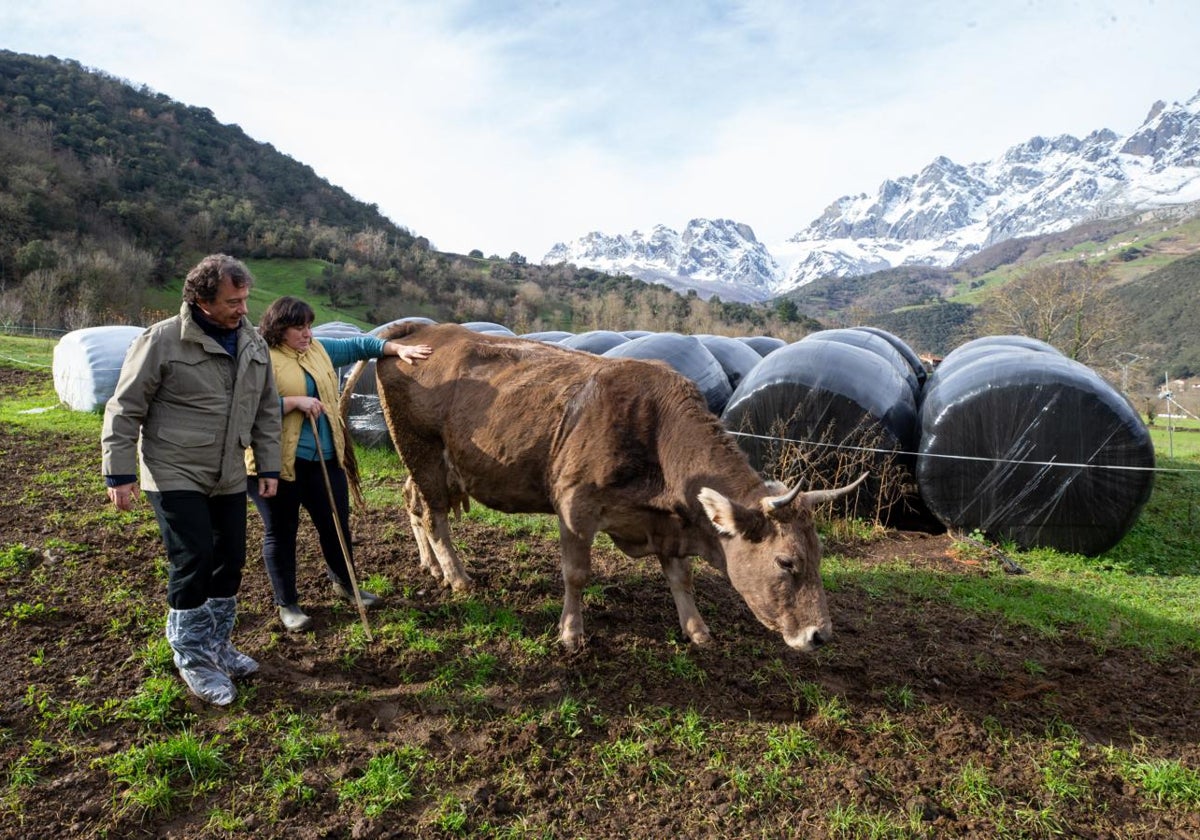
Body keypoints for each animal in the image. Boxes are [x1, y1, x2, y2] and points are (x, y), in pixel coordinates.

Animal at [345, 324, 864, 652]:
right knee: (434, 515)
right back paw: (456, 576)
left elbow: (681, 577)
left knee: (415, 505)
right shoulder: (575, 506)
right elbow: (576, 574)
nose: (821, 636)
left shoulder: (666, 521)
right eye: (786, 562)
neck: (656, 434)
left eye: (819, 557)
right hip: (422, 451)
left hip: (427, 463)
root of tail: (426, 332)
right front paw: (571, 633)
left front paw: (696, 629)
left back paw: (431, 567)